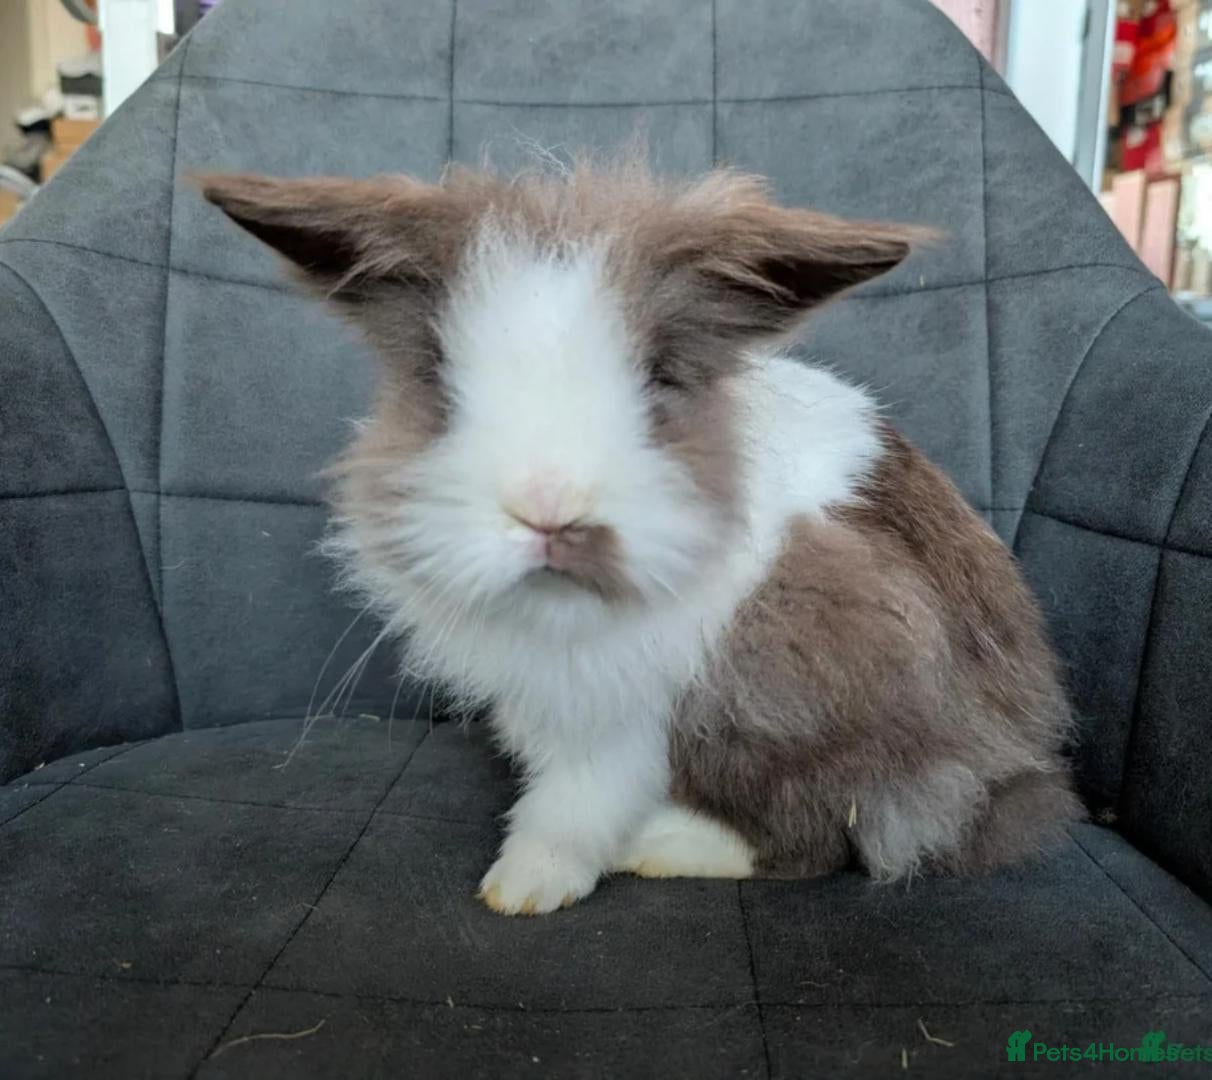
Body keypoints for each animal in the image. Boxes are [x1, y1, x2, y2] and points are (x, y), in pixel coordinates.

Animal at [201, 156, 1083, 916]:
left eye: (658, 377)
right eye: (439, 382)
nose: (549, 507)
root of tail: (1022, 769)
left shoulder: (635, 709)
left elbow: (580, 800)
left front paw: (527, 885)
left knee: (831, 833)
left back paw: (663, 846)